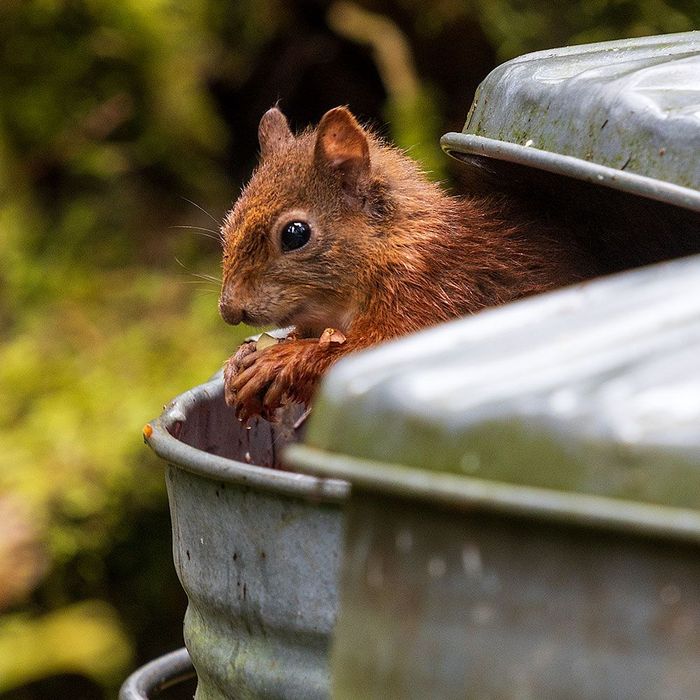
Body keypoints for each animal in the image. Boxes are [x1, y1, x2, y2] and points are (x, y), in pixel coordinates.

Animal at [217, 106, 592, 418]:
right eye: (229, 223)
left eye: (295, 234)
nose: (229, 311)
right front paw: (240, 359)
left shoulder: (429, 297)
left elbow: (363, 356)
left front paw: (279, 360)